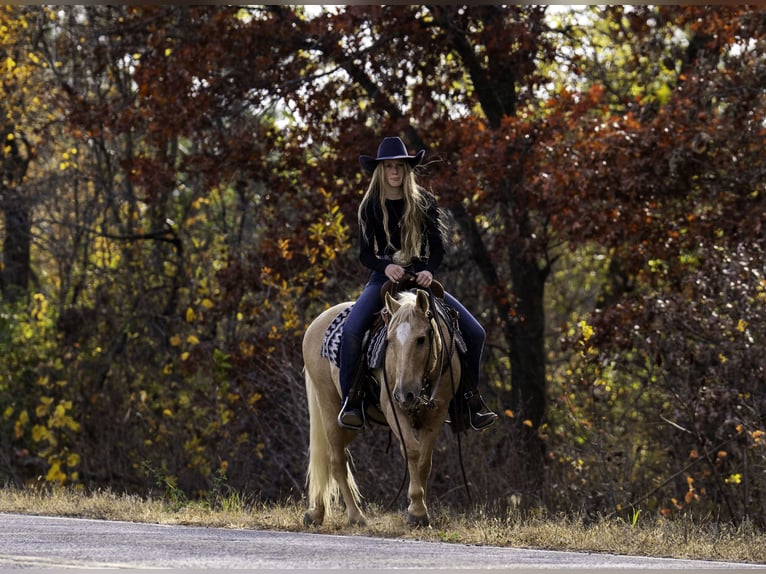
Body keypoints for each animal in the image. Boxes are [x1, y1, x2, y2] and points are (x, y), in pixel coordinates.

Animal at [302, 290, 460, 528]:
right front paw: (417, 511)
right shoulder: (393, 408)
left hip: (349, 425)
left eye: (421, 339)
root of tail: (316, 323)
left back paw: (316, 512)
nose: (405, 394)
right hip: (328, 406)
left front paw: (420, 508)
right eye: (389, 341)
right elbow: (412, 451)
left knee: (328, 458)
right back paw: (356, 516)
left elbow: (424, 459)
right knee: (335, 460)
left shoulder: (436, 413)